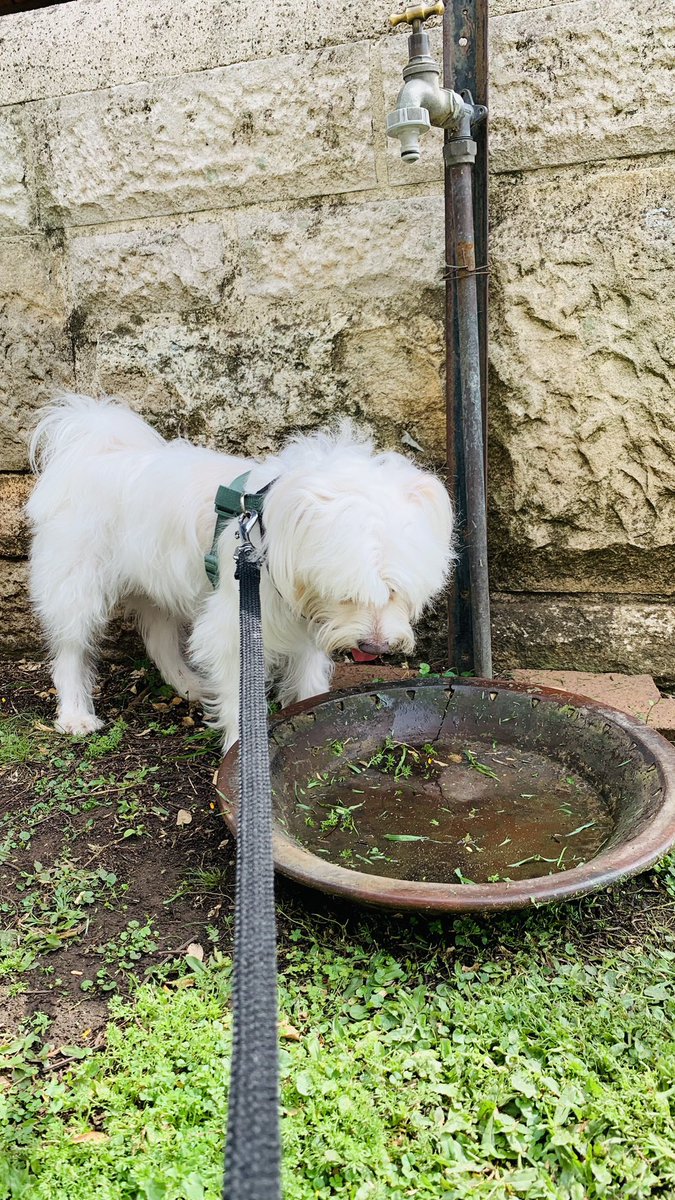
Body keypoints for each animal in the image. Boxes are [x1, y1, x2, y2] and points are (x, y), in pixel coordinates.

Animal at [28, 398, 454, 744]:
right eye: (345, 592)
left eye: (396, 591)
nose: (375, 648)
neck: (269, 531)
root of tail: (94, 446)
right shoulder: (236, 625)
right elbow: (239, 694)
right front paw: (240, 751)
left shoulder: (305, 625)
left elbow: (308, 681)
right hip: (77, 584)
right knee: (70, 649)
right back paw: (75, 715)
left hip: (158, 582)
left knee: (159, 638)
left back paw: (189, 685)